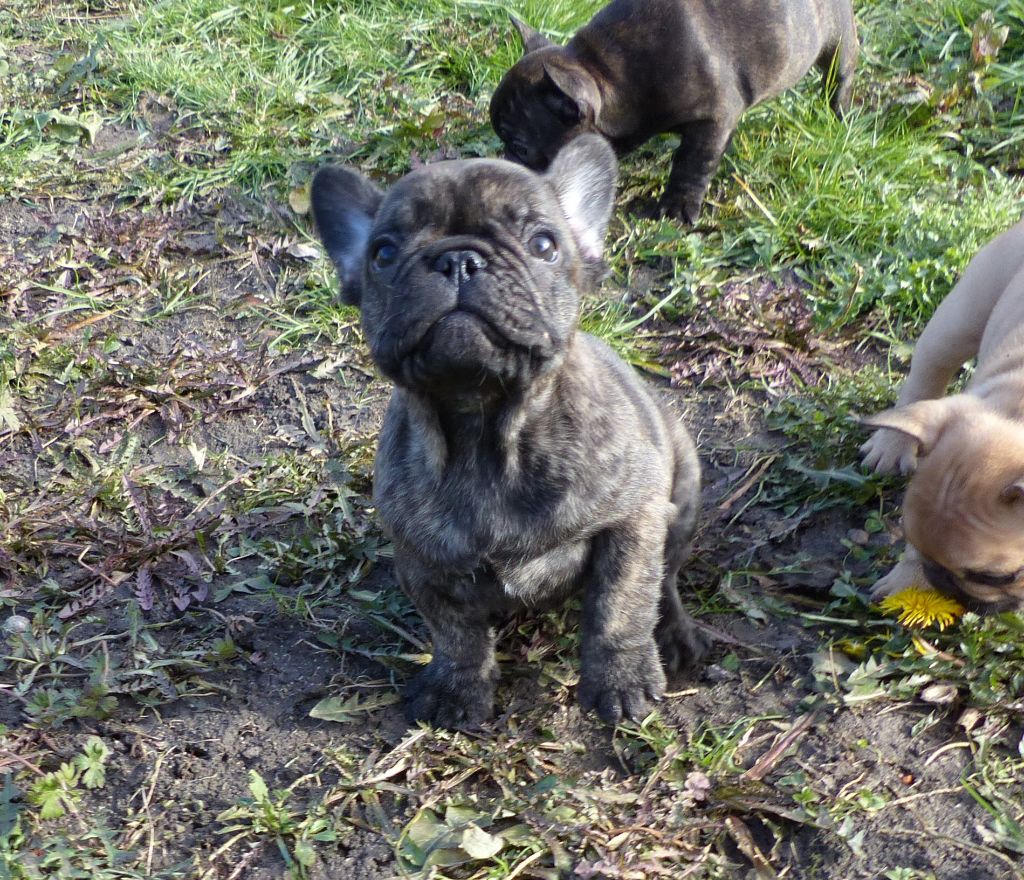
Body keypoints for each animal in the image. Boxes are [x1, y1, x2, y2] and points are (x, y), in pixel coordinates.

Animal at [310, 135, 707, 727]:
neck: (484, 428)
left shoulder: (632, 521)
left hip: (680, 491)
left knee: (667, 575)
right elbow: (455, 633)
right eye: (382, 253)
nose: (458, 259)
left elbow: (622, 602)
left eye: (543, 244)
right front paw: (458, 688)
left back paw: (675, 635)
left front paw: (621, 678)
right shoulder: (421, 559)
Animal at [490, 0, 858, 223]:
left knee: (838, 77)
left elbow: (692, 164)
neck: (606, 74)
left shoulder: (712, 118)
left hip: (838, 42)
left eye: (520, 147)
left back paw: (840, 115)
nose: (505, 163)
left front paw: (677, 208)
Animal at [861, 219, 1024, 613]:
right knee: (926, 376)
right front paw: (909, 583)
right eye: (911, 539)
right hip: (958, 320)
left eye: (998, 577)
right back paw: (892, 444)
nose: (942, 582)